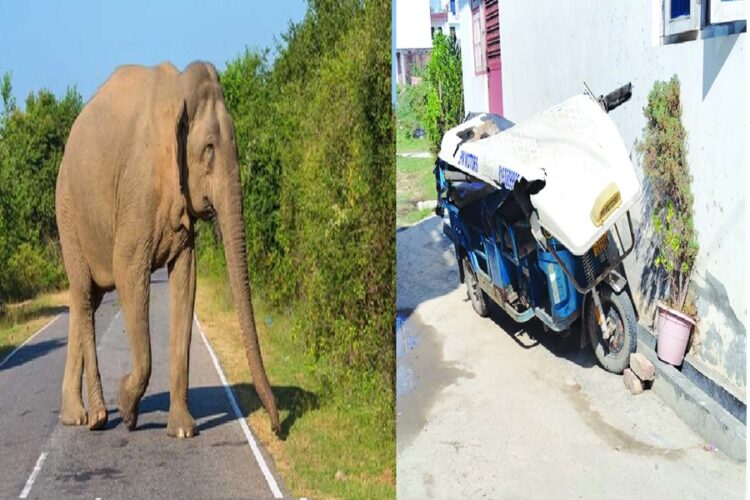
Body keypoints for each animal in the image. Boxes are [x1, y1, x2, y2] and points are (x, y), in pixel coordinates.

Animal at [54, 61, 280, 438]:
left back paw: (74, 416)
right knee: (84, 293)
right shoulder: (137, 190)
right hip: (68, 210)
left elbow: (187, 280)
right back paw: (98, 418)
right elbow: (128, 269)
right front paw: (127, 409)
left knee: (85, 297)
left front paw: (183, 431)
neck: (178, 94)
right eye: (209, 148)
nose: (278, 429)